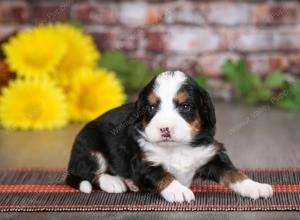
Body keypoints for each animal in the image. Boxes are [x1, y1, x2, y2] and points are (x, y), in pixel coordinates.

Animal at [67, 71, 274, 203]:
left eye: (185, 107)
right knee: (89, 175)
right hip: (90, 149)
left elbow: (234, 173)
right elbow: (163, 175)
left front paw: (255, 186)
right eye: (151, 108)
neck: (177, 147)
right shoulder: (143, 163)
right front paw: (179, 191)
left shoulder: (212, 155)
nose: (164, 129)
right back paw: (114, 182)